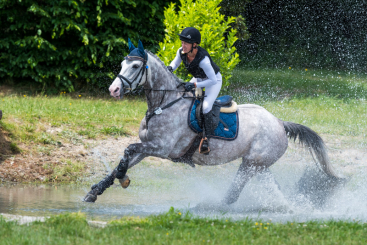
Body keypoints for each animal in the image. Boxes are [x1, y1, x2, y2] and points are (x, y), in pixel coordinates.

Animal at [83, 41, 342, 204]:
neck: (163, 103)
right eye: (122, 64)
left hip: (250, 164)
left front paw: (123, 179)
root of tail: (280, 123)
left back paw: (210, 207)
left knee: (234, 193)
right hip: (259, 166)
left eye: (136, 66)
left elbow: (127, 151)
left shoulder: (162, 148)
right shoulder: (147, 148)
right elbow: (123, 160)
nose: (114, 90)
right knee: (272, 189)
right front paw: (95, 191)